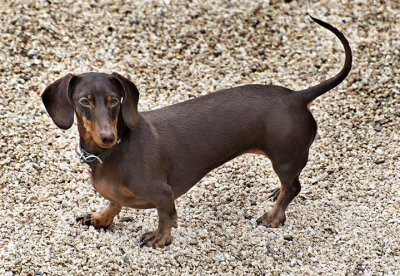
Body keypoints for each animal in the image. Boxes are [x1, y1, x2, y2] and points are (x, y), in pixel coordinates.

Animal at [42, 15, 352, 248]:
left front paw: (160, 239)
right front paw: (101, 218)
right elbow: (113, 203)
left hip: (285, 158)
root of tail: (297, 97)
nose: (108, 137)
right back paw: (276, 193)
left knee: (294, 187)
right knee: (290, 185)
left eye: (114, 100)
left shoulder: (163, 193)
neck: (114, 152)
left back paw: (274, 216)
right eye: (84, 101)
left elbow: (166, 217)